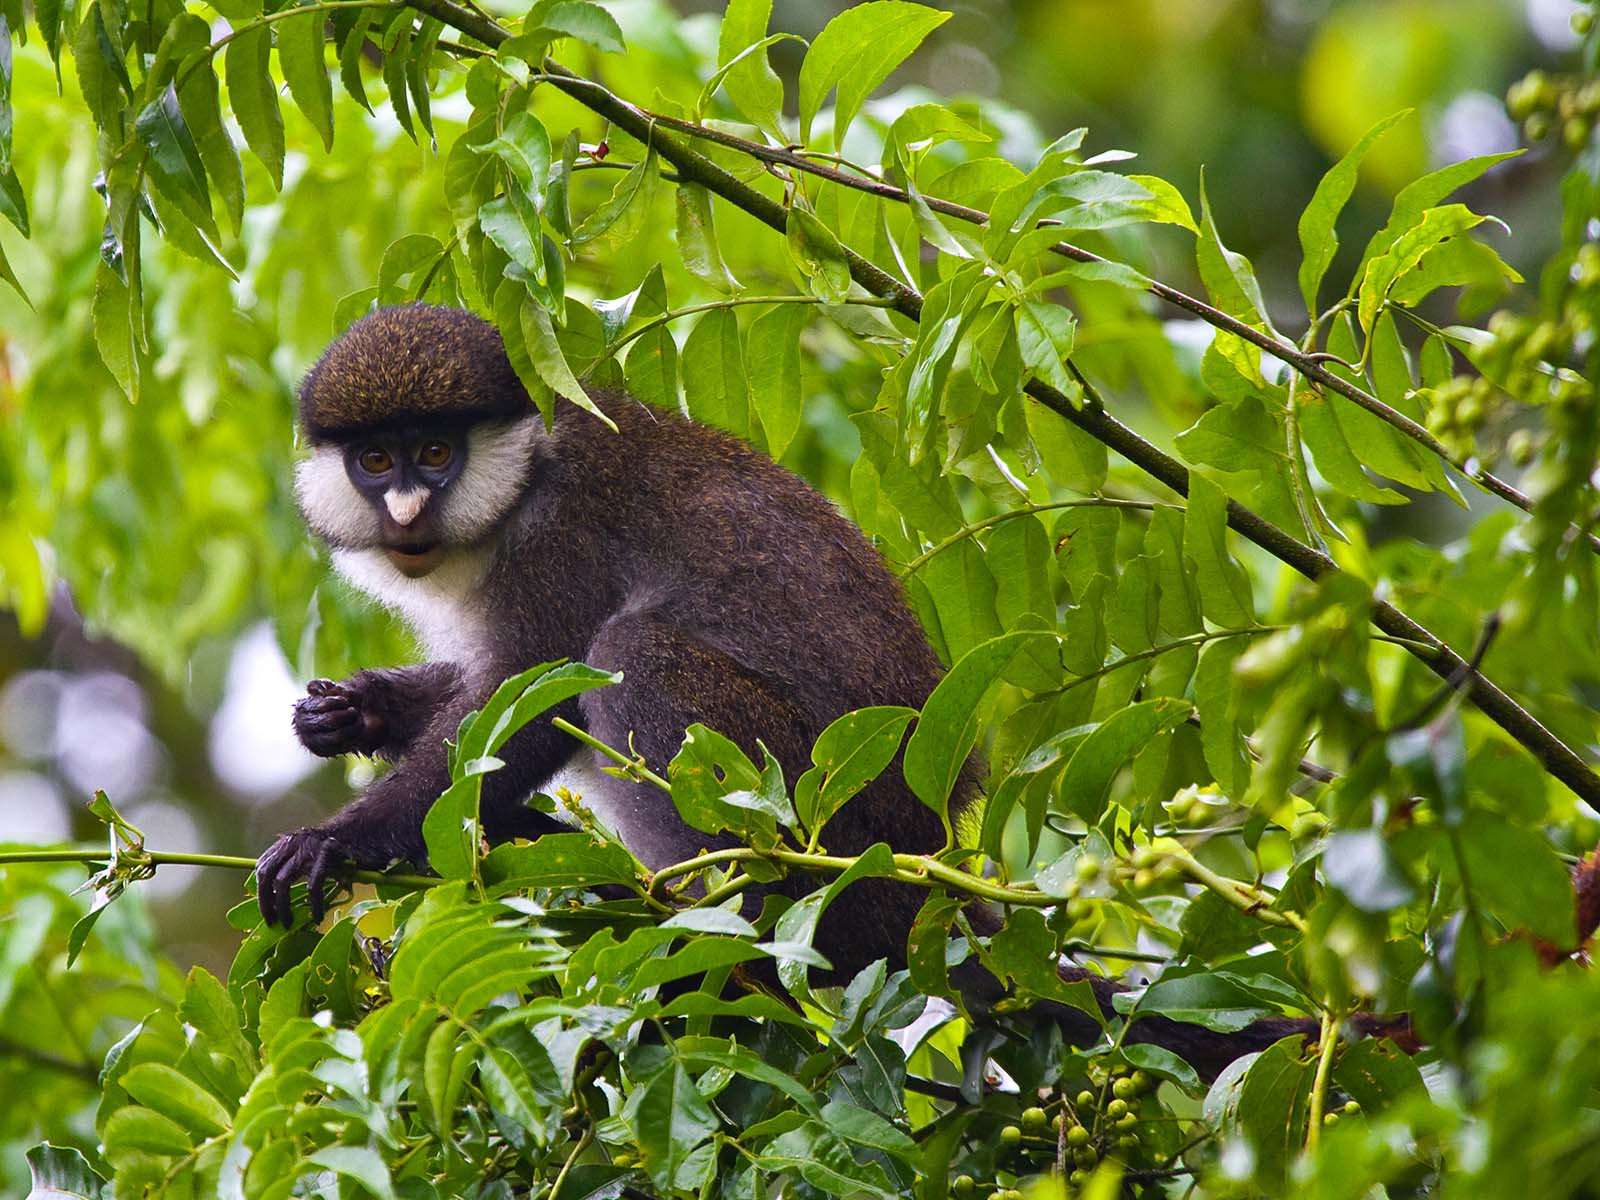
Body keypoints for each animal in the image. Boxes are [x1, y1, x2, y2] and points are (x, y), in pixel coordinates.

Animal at [259, 302, 1396, 1080]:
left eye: (435, 451)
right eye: (375, 460)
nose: (406, 509)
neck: (509, 493)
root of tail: (930, 880)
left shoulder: (554, 547)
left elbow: (534, 695)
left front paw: (342, 840)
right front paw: (358, 710)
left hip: (826, 826)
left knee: (633, 653)